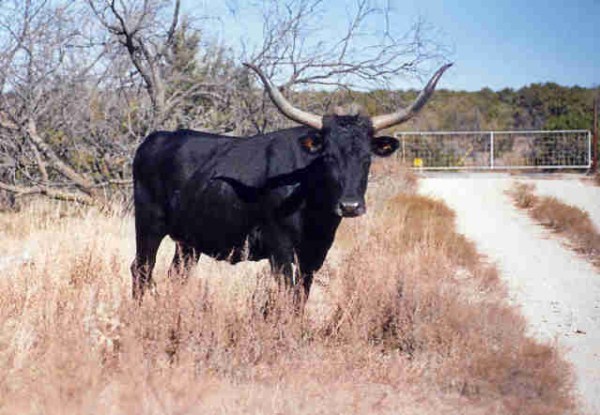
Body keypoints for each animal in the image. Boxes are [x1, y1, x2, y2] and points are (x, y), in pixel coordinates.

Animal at [131, 62, 452, 301]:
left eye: (366, 157)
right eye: (328, 156)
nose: (350, 206)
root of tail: (157, 138)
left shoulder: (315, 252)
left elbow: (301, 296)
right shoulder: (280, 247)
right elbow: (286, 295)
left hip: (189, 241)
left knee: (175, 275)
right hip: (148, 225)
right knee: (141, 270)